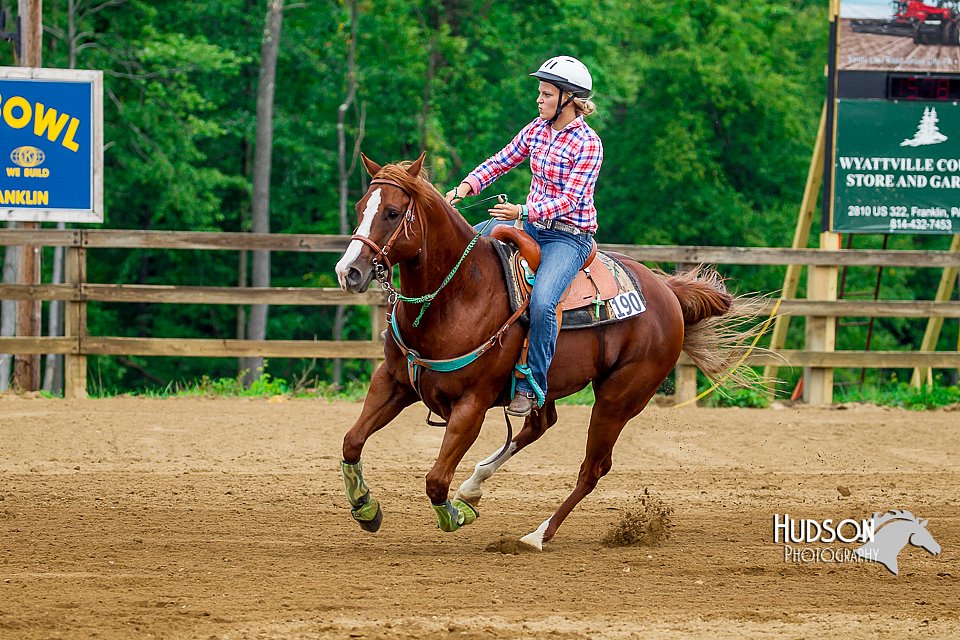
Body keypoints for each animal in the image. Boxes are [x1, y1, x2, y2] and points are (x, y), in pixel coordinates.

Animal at [338, 152, 752, 548]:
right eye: (359, 207)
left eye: (392, 212)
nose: (348, 272)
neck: (458, 294)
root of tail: (667, 291)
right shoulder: (393, 382)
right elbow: (352, 442)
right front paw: (365, 507)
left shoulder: (471, 404)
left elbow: (436, 479)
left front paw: (454, 516)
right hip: (547, 384)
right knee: (539, 425)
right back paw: (473, 488)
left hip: (619, 399)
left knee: (593, 468)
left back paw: (537, 534)